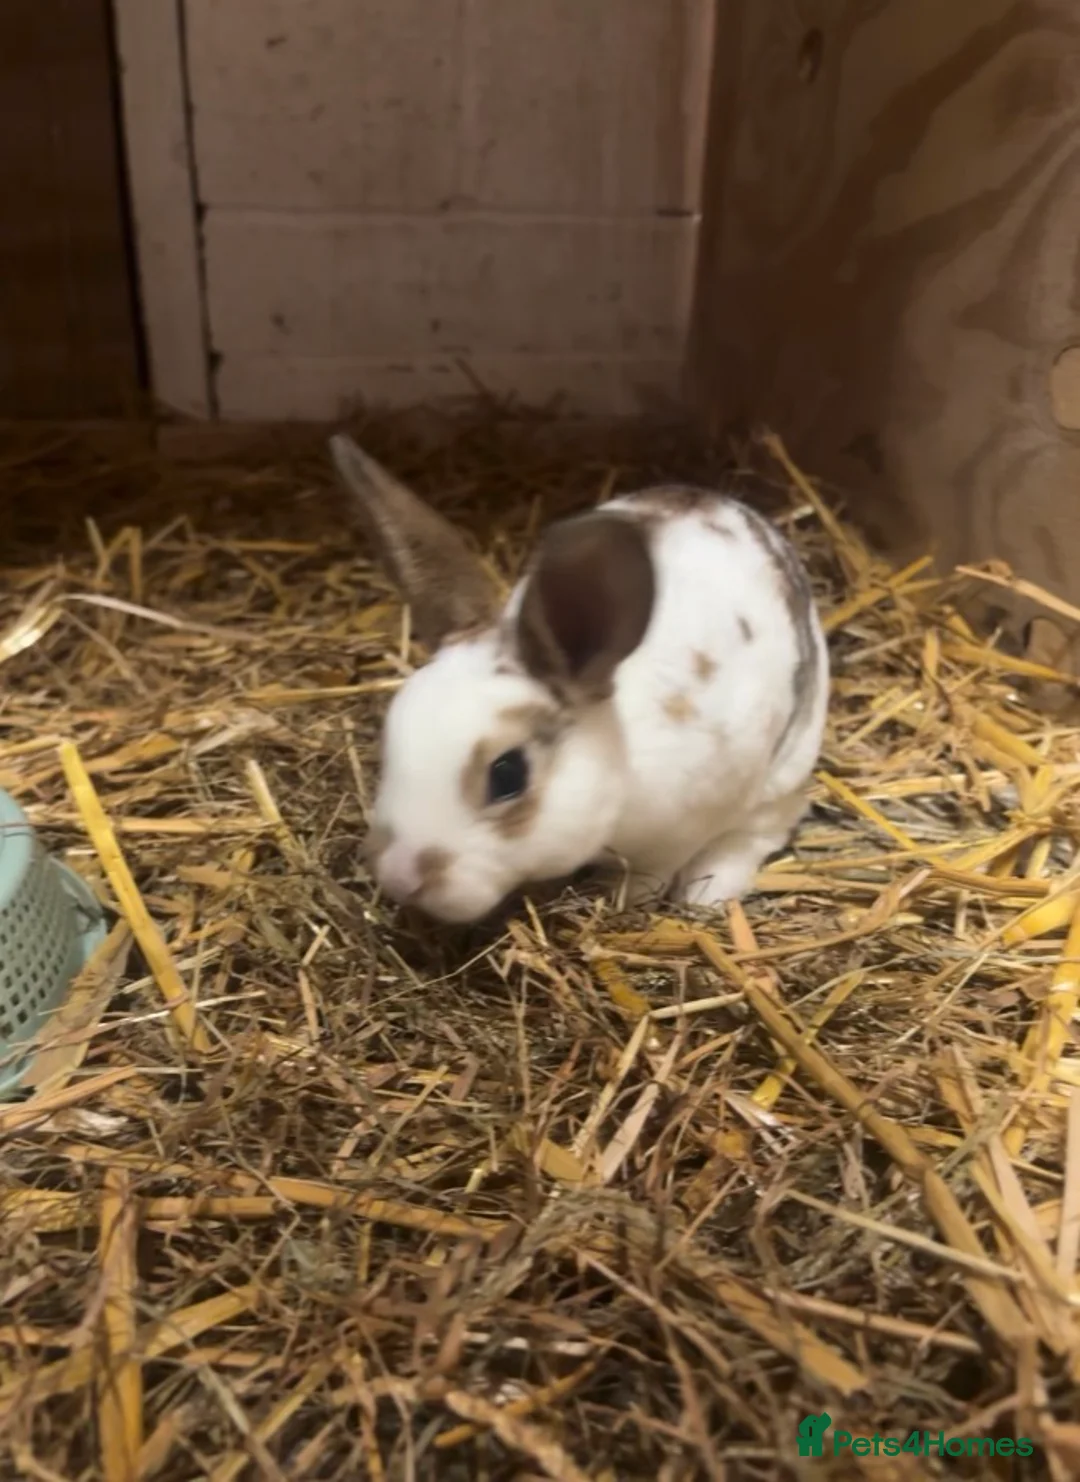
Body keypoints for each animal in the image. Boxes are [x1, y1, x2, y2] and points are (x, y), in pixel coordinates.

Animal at [330, 433, 829, 925]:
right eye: (389, 738)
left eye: (507, 775)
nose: (398, 877)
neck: (619, 752)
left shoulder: (680, 832)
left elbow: (650, 877)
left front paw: (622, 901)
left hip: (785, 767)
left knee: (768, 825)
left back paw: (708, 893)